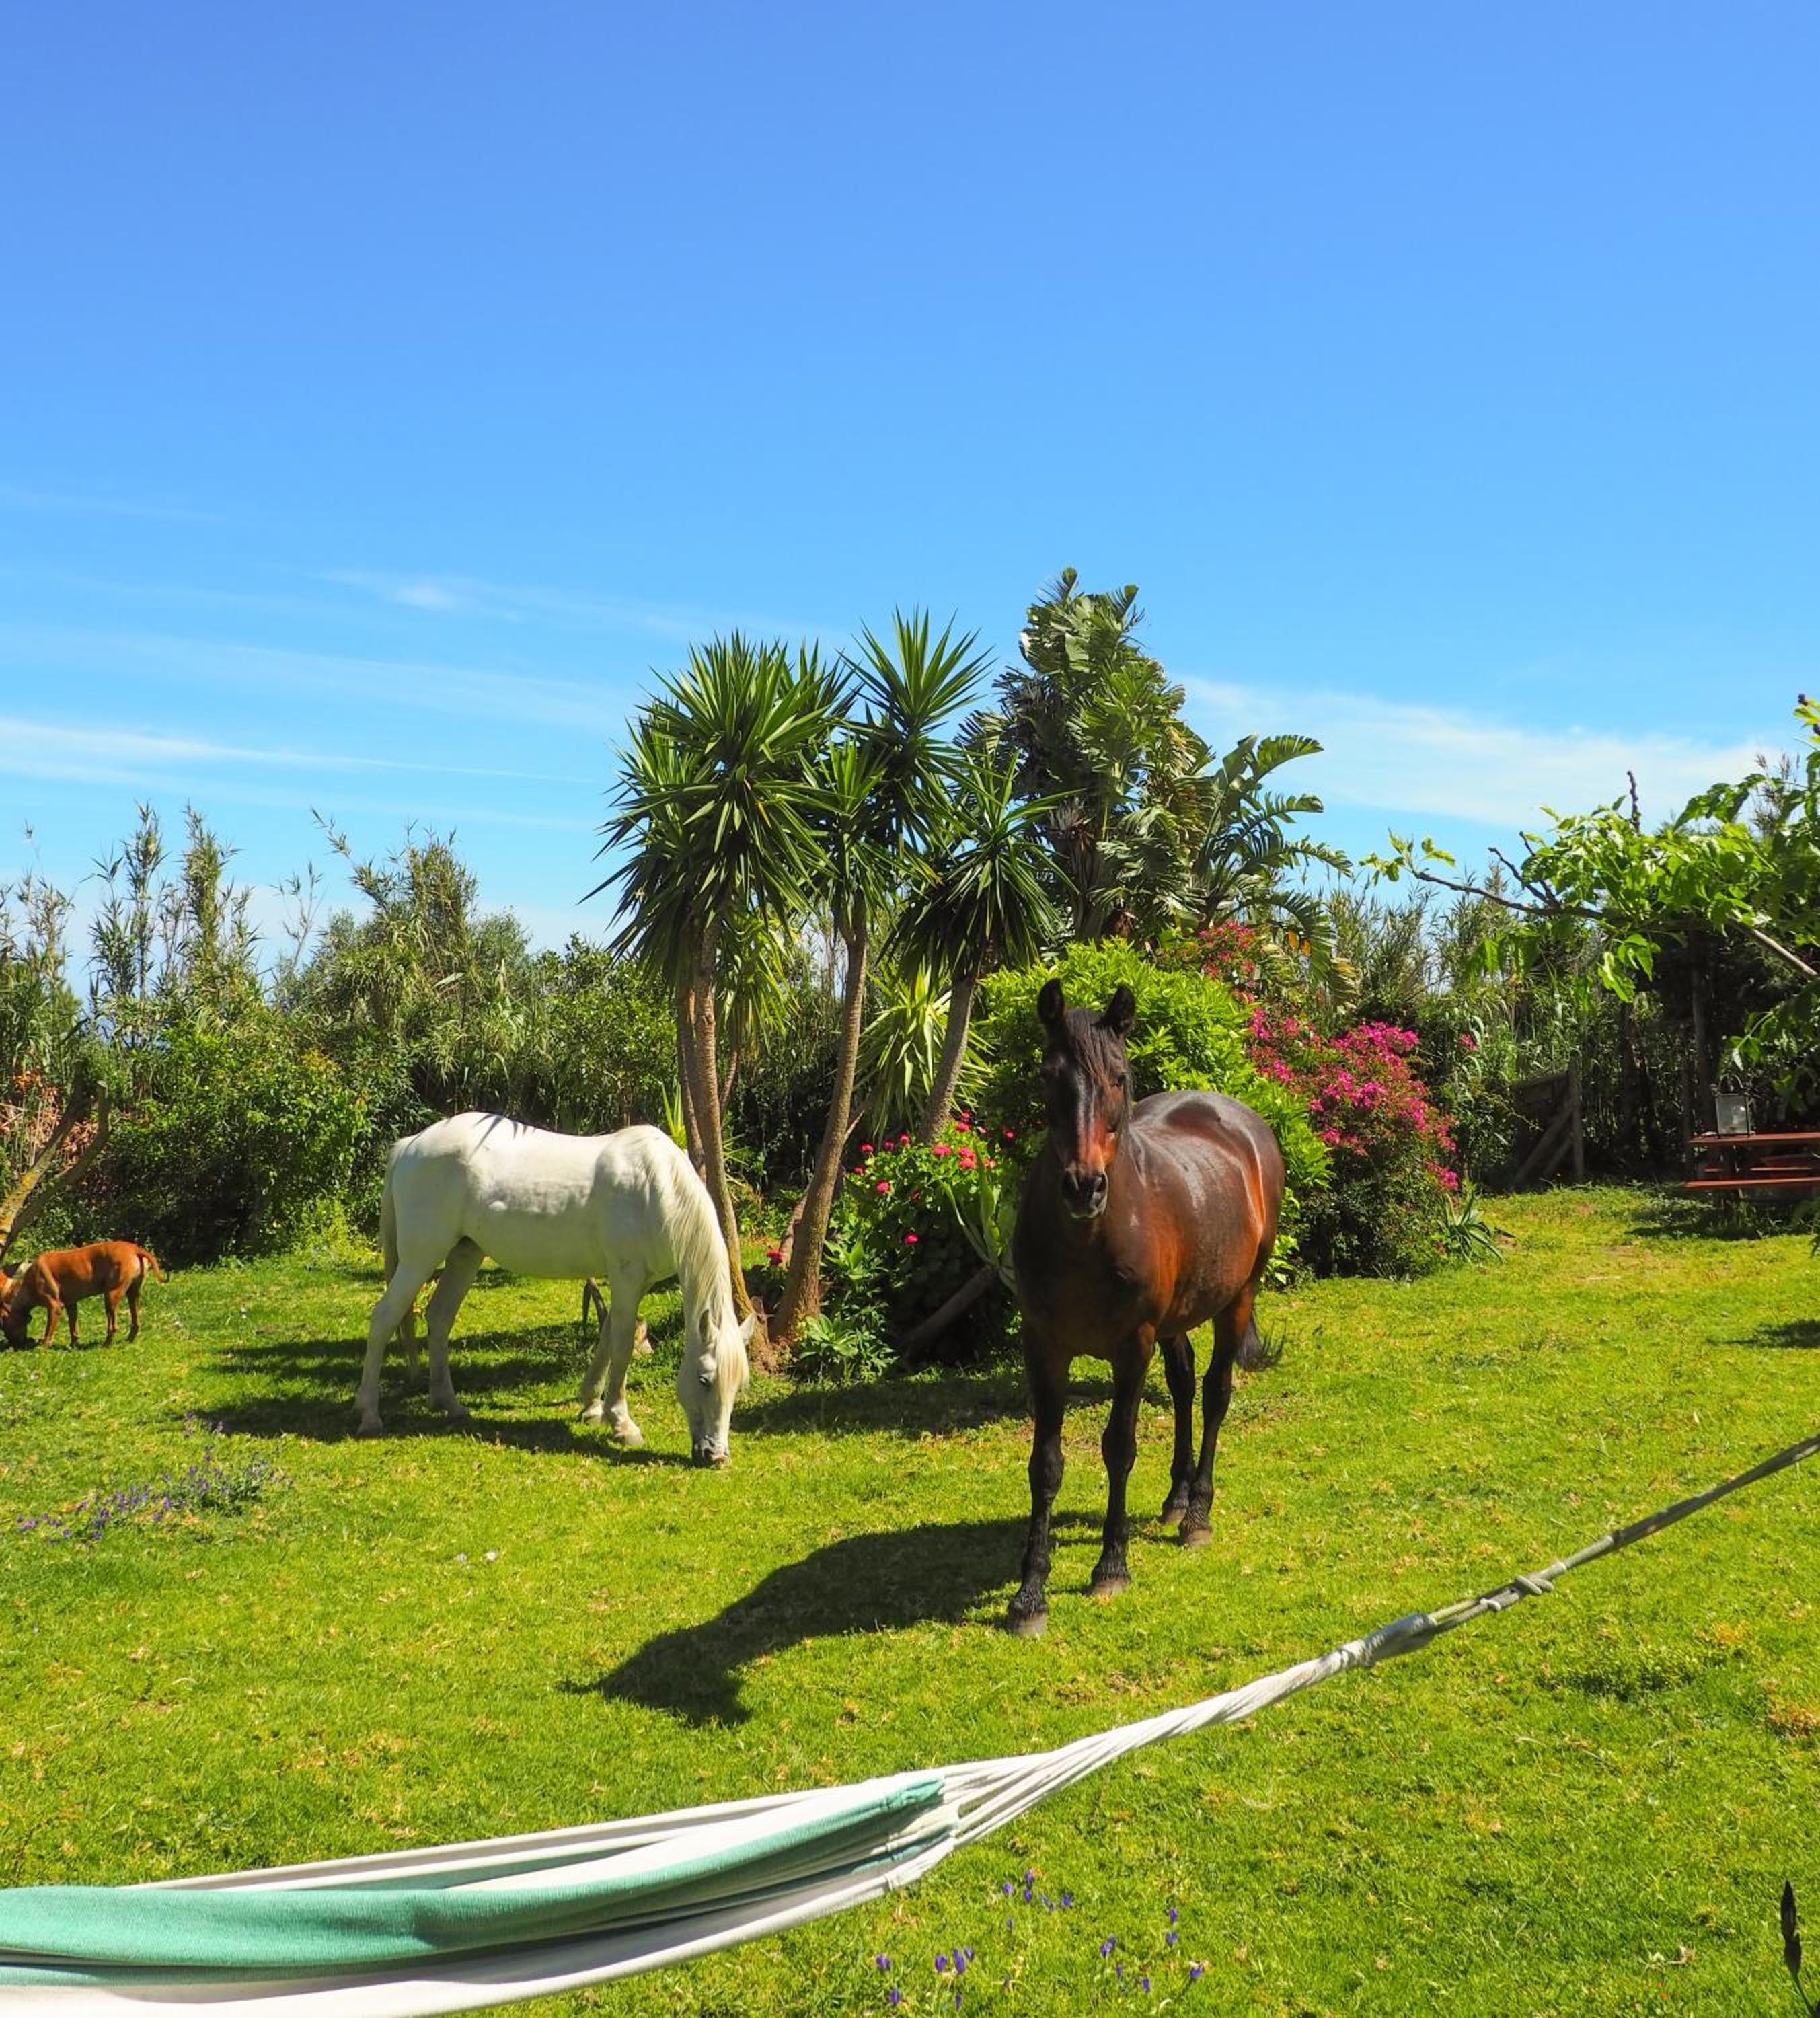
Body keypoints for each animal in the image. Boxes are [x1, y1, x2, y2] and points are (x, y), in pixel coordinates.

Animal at [355, 1113, 752, 1465]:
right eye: (704, 1380)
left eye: (738, 1386)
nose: (716, 1456)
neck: (657, 1189)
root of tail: (412, 1145)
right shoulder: (626, 1277)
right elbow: (622, 1343)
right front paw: (622, 1424)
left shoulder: (639, 1282)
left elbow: (608, 1337)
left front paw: (591, 1407)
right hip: (420, 1258)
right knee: (384, 1319)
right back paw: (369, 1415)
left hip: (466, 1253)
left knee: (439, 1317)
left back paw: (449, 1404)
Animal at [1005, 980, 1285, 1635]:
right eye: (1047, 1074)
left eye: (1119, 1077)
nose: (1084, 1186)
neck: (1087, 1240)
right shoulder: (1044, 1346)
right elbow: (1045, 1463)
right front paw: (1030, 1593)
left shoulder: (1131, 1346)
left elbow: (1119, 1447)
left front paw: (1111, 1566)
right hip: (1175, 1321)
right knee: (1183, 1383)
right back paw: (1176, 1498)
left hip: (1238, 1298)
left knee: (1214, 1393)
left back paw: (1197, 1513)